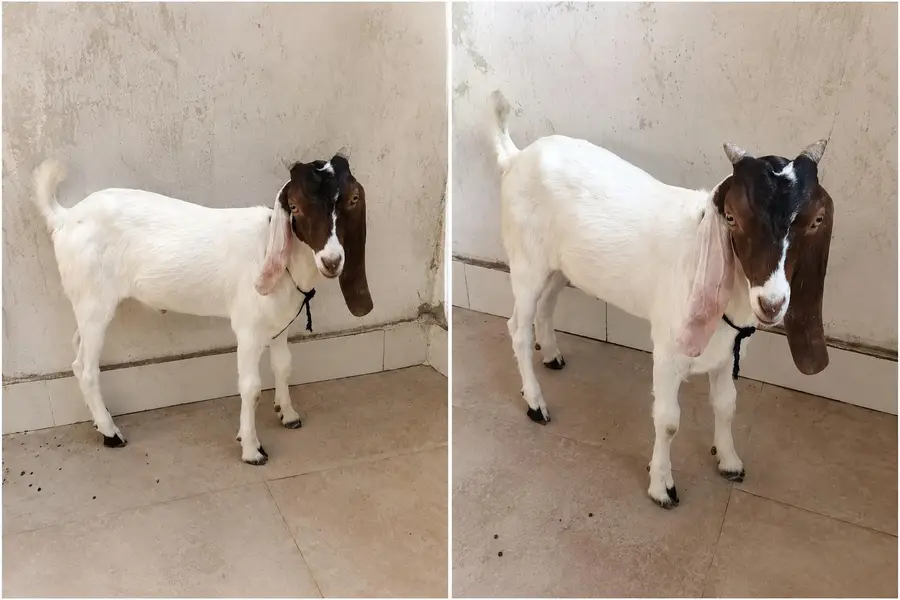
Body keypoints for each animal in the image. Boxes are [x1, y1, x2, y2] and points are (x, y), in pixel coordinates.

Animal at [31, 155, 373, 465]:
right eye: (296, 206)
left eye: (352, 199)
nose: (332, 261)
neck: (276, 254)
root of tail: (65, 217)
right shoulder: (248, 328)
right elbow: (250, 387)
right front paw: (251, 449)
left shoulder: (280, 324)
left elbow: (284, 366)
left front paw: (287, 413)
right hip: (94, 300)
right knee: (86, 367)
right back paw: (111, 433)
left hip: (85, 301)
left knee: (77, 353)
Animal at [488, 91, 834, 508]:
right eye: (732, 217)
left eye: (815, 221)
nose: (772, 303)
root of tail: (516, 157)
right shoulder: (669, 351)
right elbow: (668, 421)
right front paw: (662, 486)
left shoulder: (728, 350)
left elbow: (727, 405)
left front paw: (729, 461)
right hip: (526, 261)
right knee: (517, 328)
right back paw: (536, 403)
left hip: (560, 267)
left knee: (548, 305)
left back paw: (552, 354)